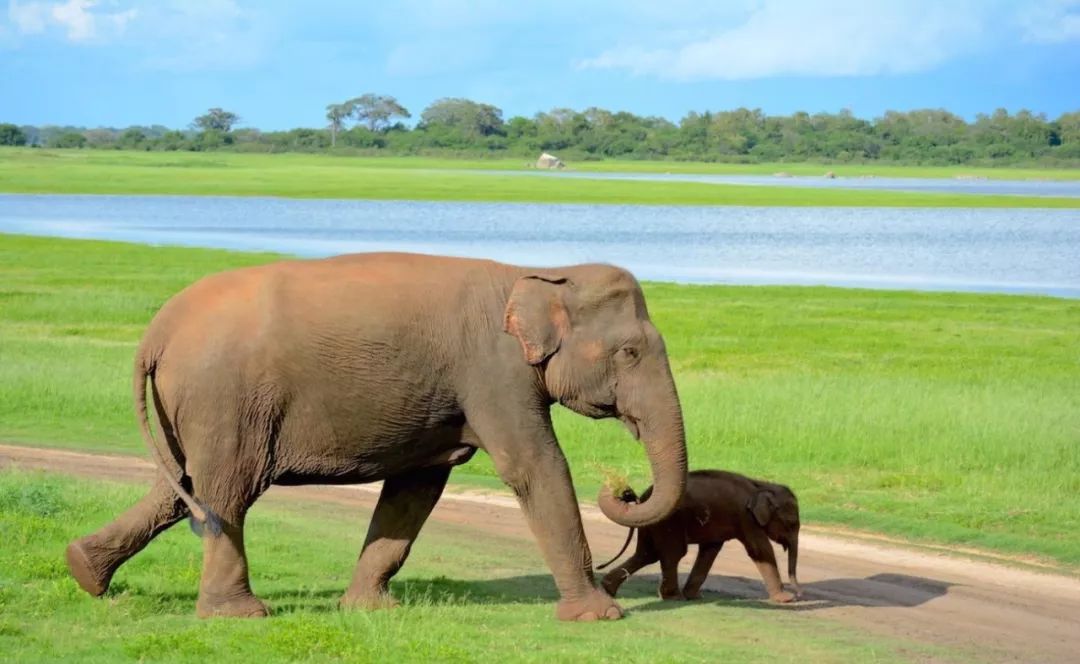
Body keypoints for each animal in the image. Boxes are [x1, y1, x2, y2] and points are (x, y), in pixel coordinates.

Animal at [67, 253, 686, 621]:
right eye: (630, 352)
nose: (624, 487)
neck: (539, 271)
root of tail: (157, 331)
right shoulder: (494, 372)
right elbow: (534, 466)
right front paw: (601, 617)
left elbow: (417, 486)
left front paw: (369, 609)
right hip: (226, 398)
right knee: (228, 491)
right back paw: (240, 615)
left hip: (195, 404)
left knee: (182, 485)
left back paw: (85, 573)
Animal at [600, 470, 803, 604]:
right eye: (791, 523)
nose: (799, 594)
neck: (761, 485)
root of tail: (642, 498)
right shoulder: (746, 517)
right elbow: (760, 549)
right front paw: (785, 599)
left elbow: (710, 550)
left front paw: (696, 596)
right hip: (669, 522)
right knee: (672, 553)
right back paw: (673, 597)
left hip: (652, 524)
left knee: (646, 554)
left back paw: (608, 588)